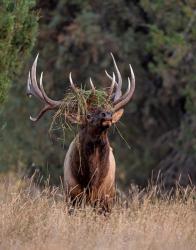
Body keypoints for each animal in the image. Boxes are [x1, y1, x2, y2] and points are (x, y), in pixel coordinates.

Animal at [26, 53, 136, 208]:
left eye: (107, 109)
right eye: (88, 115)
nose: (107, 115)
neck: (91, 181)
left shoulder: (105, 198)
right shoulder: (72, 195)